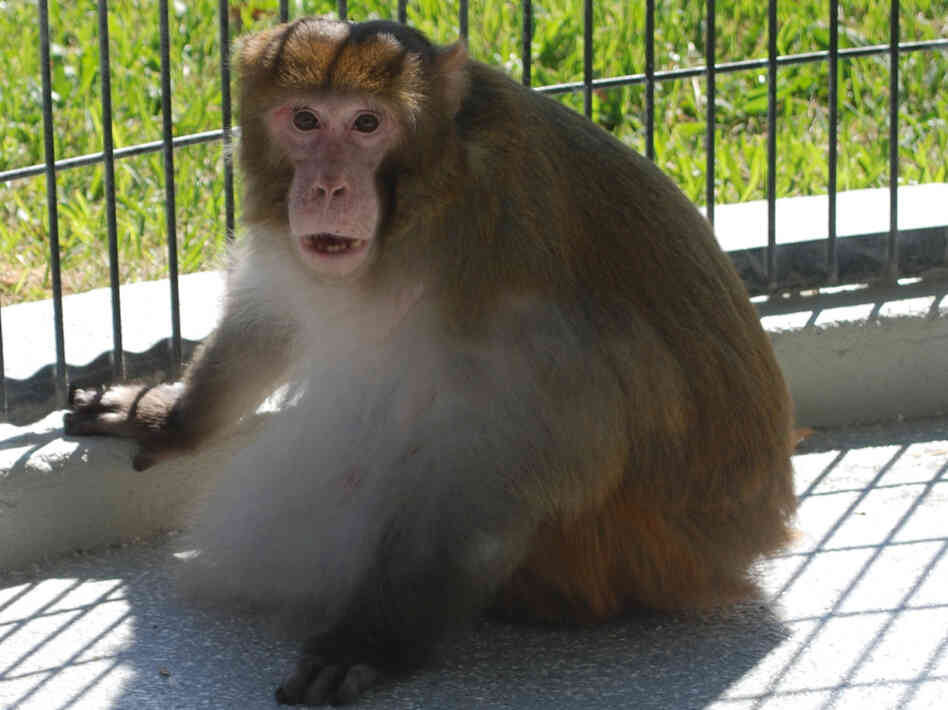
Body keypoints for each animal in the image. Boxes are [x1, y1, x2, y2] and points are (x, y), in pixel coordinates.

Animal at [64, 17, 797, 706]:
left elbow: (536, 441)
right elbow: (270, 315)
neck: (428, 201)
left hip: (648, 547)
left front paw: (373, 640)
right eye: (304, 120)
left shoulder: (500, 245)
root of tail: (757, 536)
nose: (328, 188)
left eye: (367, 124)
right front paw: (169, 415)